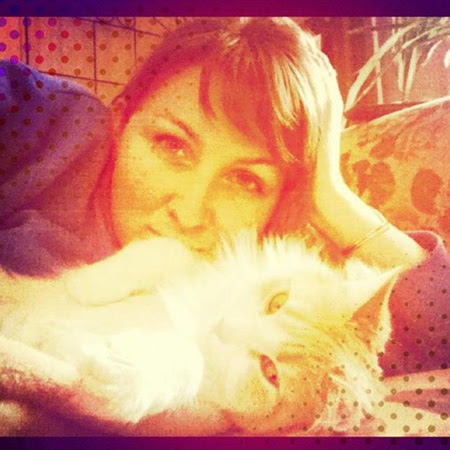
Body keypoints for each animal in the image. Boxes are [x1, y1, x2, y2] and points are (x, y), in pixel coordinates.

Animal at [0, 235, 400, 435]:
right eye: (278, 301)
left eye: (269, 372)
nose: (223, 327)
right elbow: (170, 248)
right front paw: (89, 285)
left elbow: (183, 365)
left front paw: (123, 373)